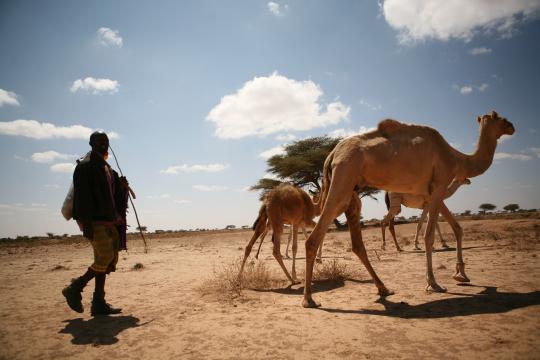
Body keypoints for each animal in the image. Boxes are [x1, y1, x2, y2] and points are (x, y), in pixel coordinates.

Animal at [304, 111, 516, 308]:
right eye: (502, 119)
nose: (513, 127)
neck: (456, 159)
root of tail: (331, 155)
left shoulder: (432, 193)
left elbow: (457, 228)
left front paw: (461, 274)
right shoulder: (439, 186)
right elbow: (429, 235)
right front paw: (434, 284)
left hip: (351, 188)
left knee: (356, 242)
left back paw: (384, 288)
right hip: (345, 173)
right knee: (315, 237)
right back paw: (309, 299)